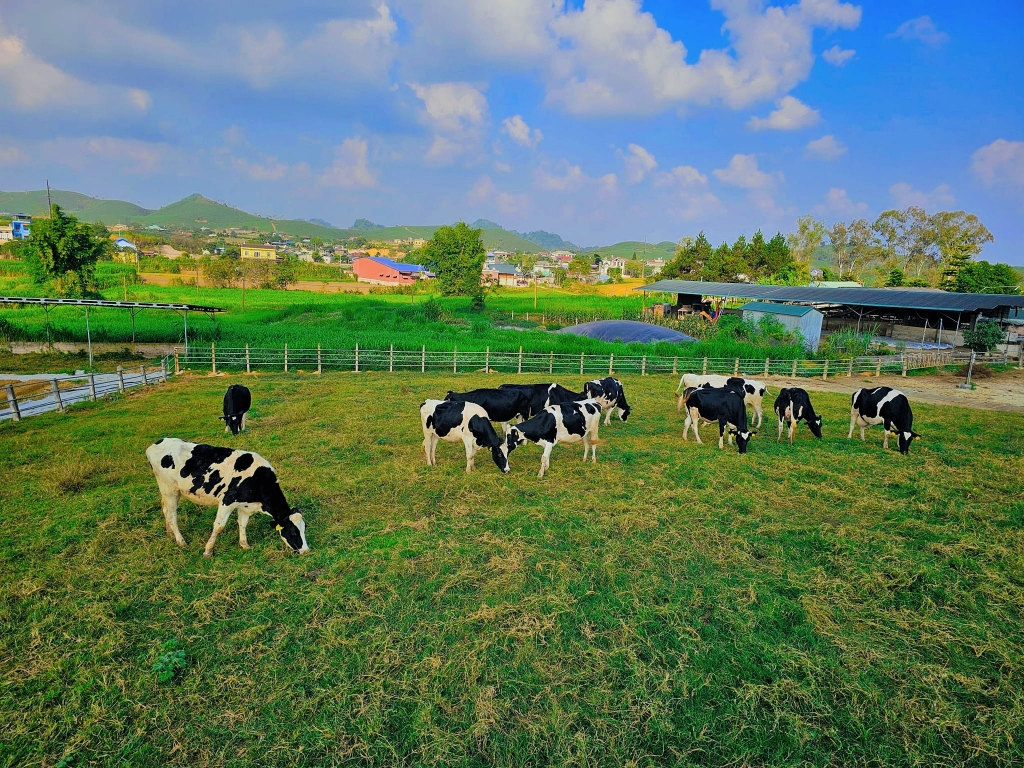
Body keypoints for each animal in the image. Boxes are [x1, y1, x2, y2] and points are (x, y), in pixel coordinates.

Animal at [145, 438, 307, 561]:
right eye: (293, 532)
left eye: (304, 529)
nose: (306, 551)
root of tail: (157, 443)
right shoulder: (227, 501)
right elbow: (219, 526)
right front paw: (208, 551)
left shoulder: (245, 506)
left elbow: (243, 524)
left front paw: (244, 545)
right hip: (169, 489)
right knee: (172, 515)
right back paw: (181, 541)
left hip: (170, 491)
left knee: (165, 510)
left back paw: (170, 534)